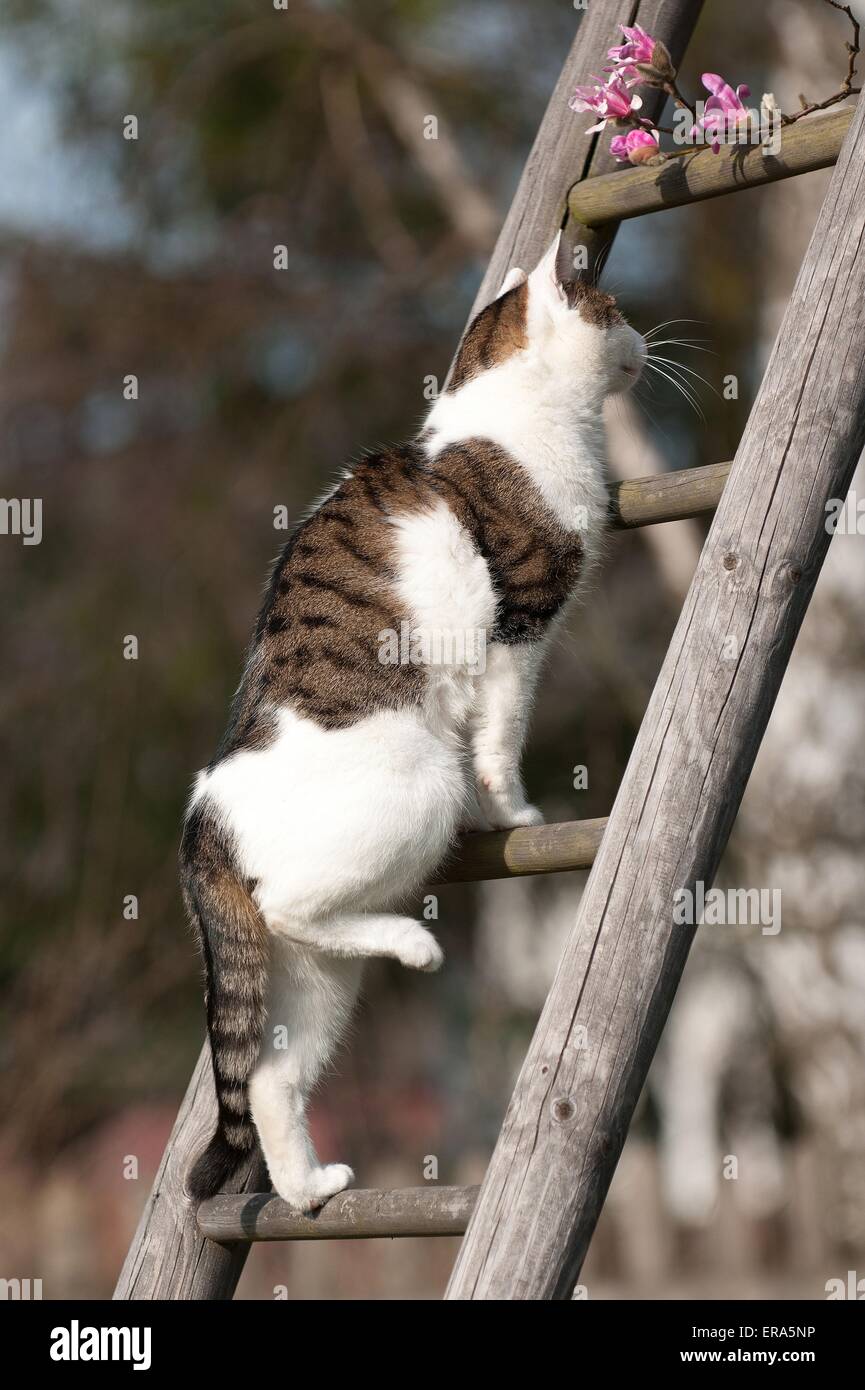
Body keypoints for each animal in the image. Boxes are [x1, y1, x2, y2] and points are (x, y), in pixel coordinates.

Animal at [180, 233, 645, 1212]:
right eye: (615, 309)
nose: (642, 342)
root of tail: (205, 811)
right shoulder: (520, 627)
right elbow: (500, 741)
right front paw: (513, 815)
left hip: (311, 984)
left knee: (271, 1076)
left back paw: (310, 1189)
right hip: (414, 786)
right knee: (295, 906)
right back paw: (418, 946)